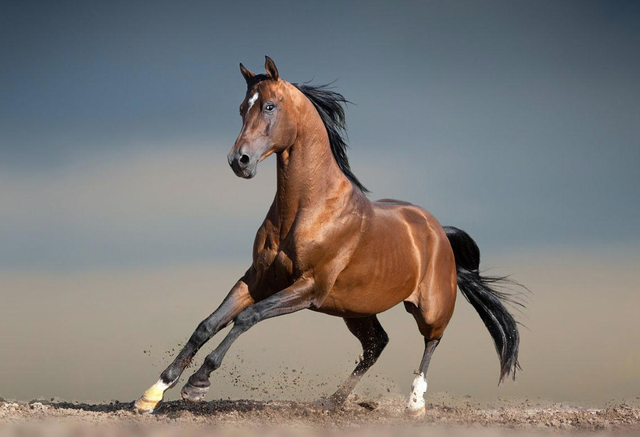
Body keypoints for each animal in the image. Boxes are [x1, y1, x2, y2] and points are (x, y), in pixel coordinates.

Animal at [134, 56, 520, 414]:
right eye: (242, 108)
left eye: (269, 106)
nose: (239, 161)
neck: (306, 210)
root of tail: (438, 230)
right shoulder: (257, 279)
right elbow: (208, 323)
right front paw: (153, 393)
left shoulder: (309, 287)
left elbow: (247, 317)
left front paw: (198, 383)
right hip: (356, 310)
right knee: (377, 344)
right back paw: (332, 401)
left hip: (431, 306)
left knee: (431, 341)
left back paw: (414, 404)